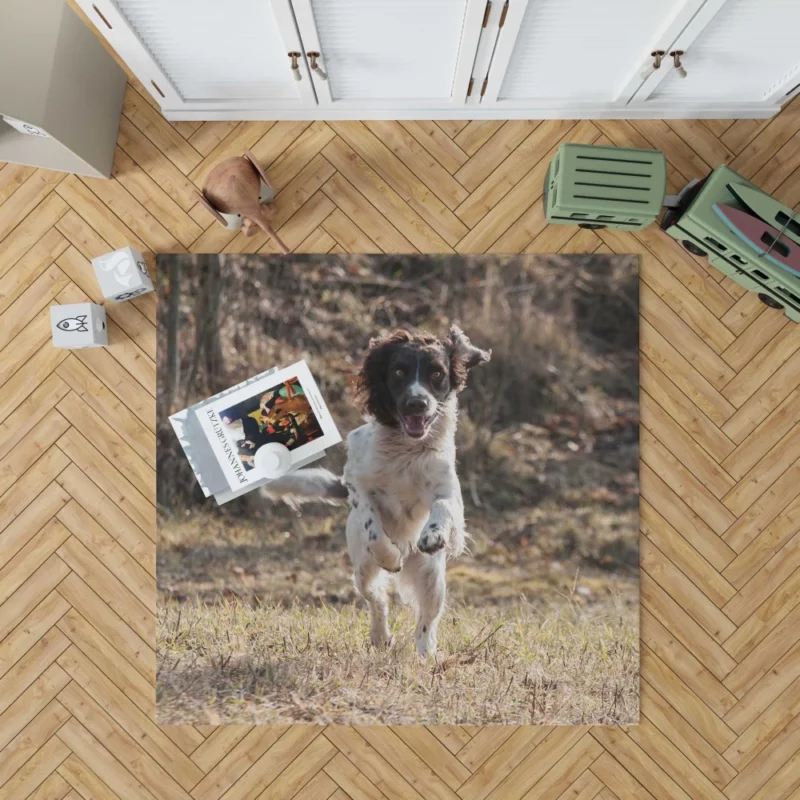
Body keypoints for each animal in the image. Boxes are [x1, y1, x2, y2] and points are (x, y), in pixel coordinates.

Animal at [264, 324, 488, 656]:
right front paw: (390, 556)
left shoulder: (448, 492)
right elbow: (373, 525)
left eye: (437, 373)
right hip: (362, 570)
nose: (416, 403)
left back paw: (426, 655)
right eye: (398, 371)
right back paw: (381, 635)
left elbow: (442, 507)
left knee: (426, 621)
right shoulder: (357, 483)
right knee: (376, 599)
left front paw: (433, 534)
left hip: (432, 577)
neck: (406, 450)